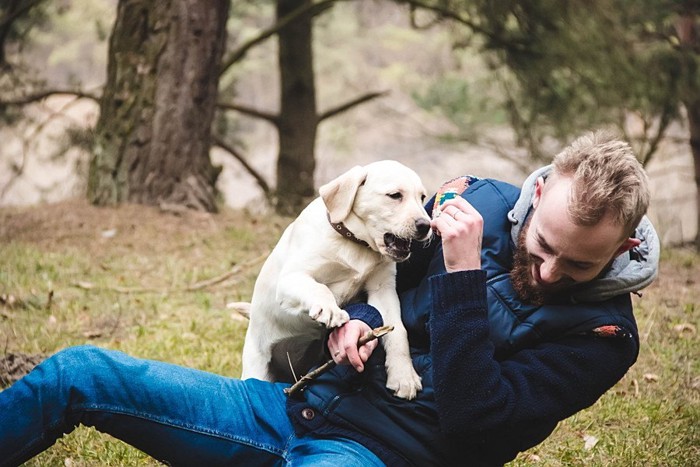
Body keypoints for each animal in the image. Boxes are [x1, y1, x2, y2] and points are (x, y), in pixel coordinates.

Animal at [241, 160, 432, 398]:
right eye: (395, 195)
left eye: (422, 197)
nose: (426, 226)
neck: (356, 244)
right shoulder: (290, 278)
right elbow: (319, 288)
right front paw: (329, 309)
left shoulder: (383, 290)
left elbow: (398, 332)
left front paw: (403, 375)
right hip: (256, 367)